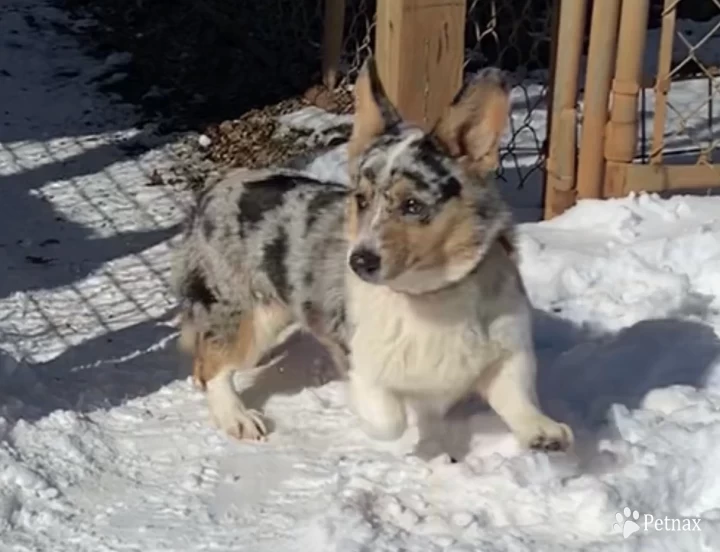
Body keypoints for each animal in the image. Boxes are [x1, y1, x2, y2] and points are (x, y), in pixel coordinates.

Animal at [170, 56, 572, 452]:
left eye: (412, 205)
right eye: (361, 200)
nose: (359, 262)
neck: (428, 296)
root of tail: (217, 186)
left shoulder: (506, 352)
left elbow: (516, 396)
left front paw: (544, 431)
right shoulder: (363, 363)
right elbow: (389, 420)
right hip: (247, 315)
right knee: (215, 364)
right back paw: (237, 418)